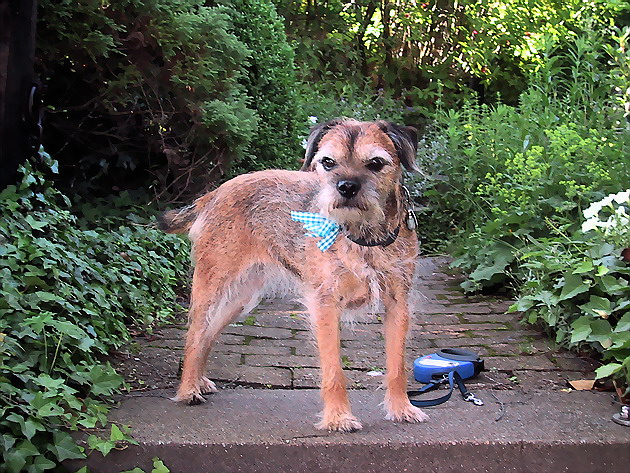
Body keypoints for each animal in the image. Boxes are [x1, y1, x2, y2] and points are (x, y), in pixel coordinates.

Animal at [159, 119, 430, 432]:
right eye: (328, 162)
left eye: (376, 163)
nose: (347, 186)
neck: (362, 235)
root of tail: (215, 193)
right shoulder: (325, 304)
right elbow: (333, 369)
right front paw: (338, 417)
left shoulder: (398, 303)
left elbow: (397, 365)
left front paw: (401, 408)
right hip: (211, 285)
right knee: (194, 335)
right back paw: (188, 389)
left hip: (240, 299)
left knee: (208, 334)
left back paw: (199, 381)